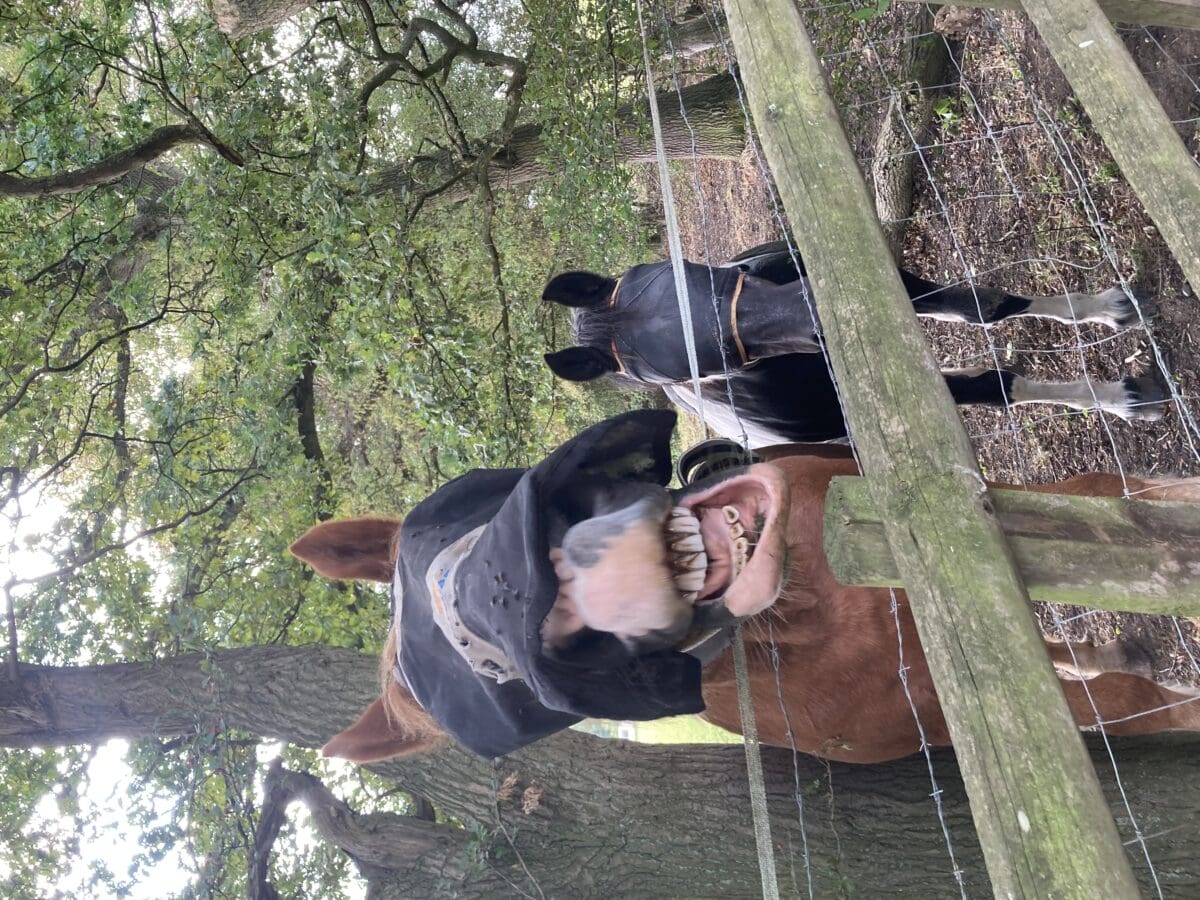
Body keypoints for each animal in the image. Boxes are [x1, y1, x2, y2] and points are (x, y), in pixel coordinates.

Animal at [290, 411, 1200, 764]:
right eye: (504, 693)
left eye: (452, 522)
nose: (599, 575)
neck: (820, 604)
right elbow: (1127, 700)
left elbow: (1110, 503)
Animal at [542, 241, 1165, 446]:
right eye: (699, 366)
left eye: (703, 278)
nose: (818, 306)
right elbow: (995, 384)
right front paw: (1124, 400)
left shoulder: (896, 286)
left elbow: (984, 307)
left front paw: (1110, 308)